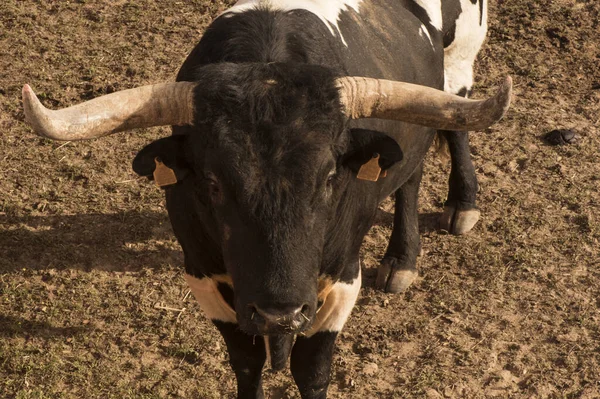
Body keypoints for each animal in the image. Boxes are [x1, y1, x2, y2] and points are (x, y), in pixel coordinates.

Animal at [24, 0, 510, 399]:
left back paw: (432, 232)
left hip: (459, 63)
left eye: (329, 177)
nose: (280, 313)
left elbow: (312, 368)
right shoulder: (203, 273)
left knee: (438, 138)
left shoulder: (341, 275)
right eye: (213, 183)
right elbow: (246, 361)